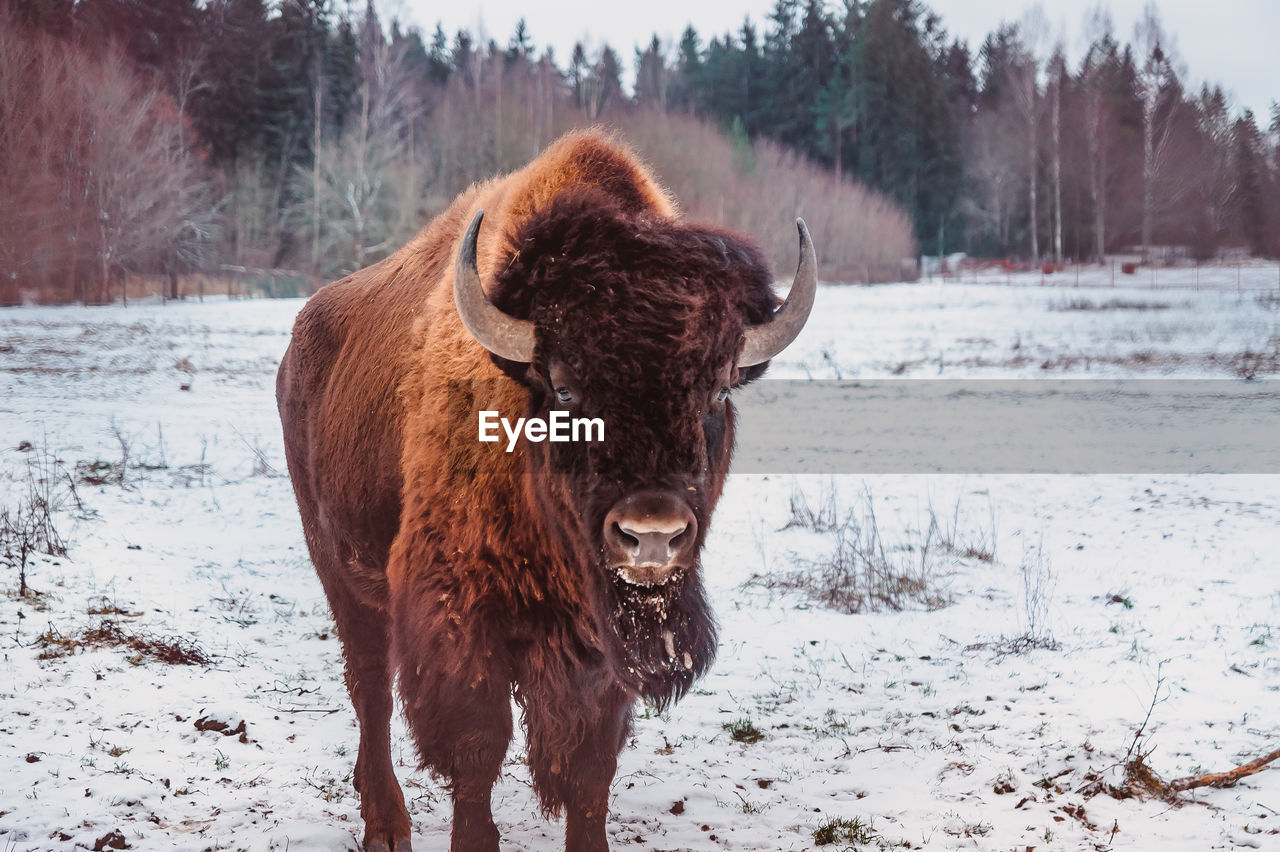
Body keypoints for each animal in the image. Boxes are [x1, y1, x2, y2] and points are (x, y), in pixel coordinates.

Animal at [277, 127, 819, 849]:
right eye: (564, 387)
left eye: (717, 389)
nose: (652, 535)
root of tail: (299, 343)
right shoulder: (462, 621)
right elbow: (477, 749)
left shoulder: (602, 651)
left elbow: (591, 768)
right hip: (338, 566)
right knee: (370, 688)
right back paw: (386, 824)